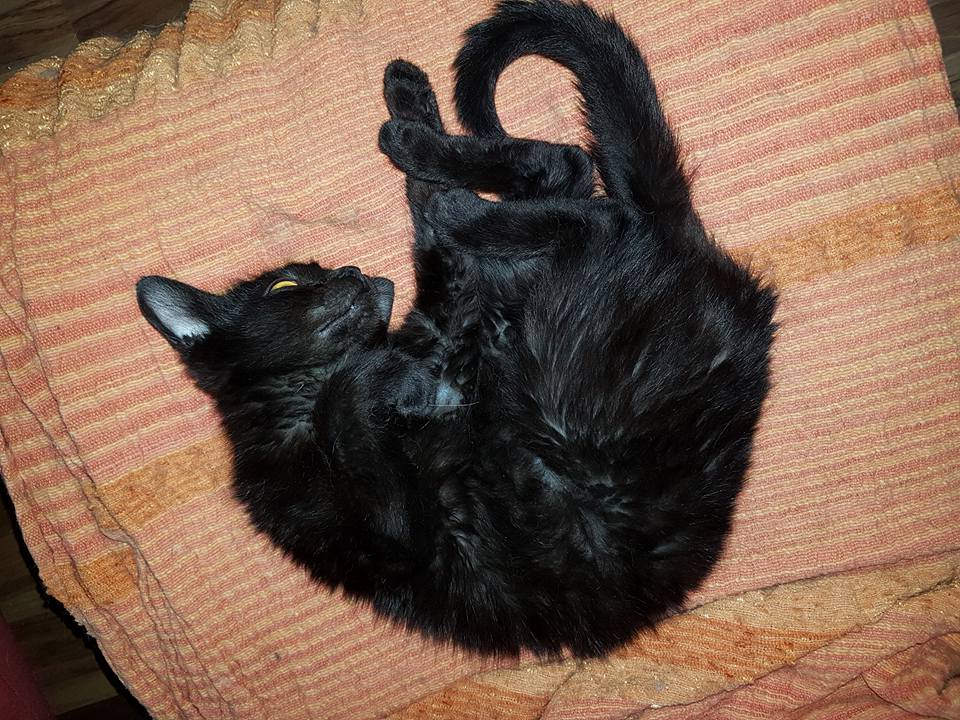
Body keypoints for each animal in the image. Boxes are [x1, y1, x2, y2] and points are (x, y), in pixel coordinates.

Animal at [136, 0, 776, 658]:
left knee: (566, 181)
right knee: (577, 191)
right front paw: (378, 371)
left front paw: (411, 102)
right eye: (285, 288)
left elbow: (416, 252)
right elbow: (350, 397)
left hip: (555, 352)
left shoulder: (451, 314)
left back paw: (415, 134)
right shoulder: (397, 528)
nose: (353, 272)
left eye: (321, 274)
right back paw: (433, 164)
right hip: (563, 368)